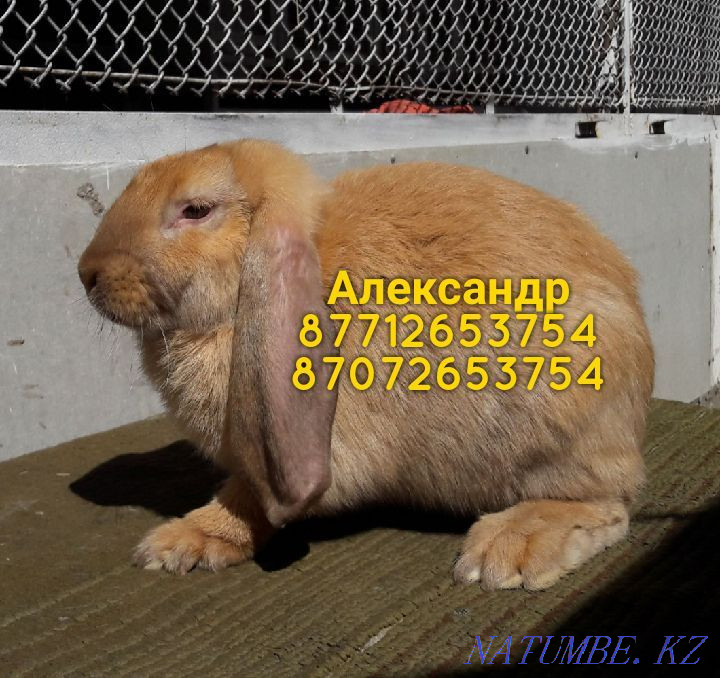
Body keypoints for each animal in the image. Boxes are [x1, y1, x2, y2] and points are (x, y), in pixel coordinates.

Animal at [78, 139, 654, 590]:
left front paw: (186, 540)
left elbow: (252, 499)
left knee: (608, 502)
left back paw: (510, 550)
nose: (88, 273)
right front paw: (179, 543)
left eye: (195, 209)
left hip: (566, 426)